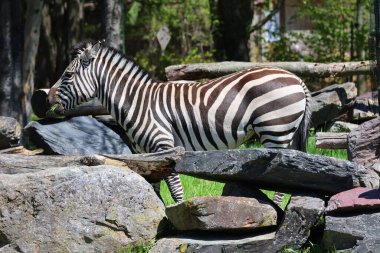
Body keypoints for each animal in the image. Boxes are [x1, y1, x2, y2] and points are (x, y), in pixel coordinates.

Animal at [46, 40, 312, 206]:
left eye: (68, 75)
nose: (46, 98)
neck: (136, 102)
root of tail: (297, 78)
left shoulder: (164, 146)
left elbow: (175, 189)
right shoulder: (148, 155)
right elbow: (154, 190)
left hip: (275, 129)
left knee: (281, 182)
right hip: (285, 134)